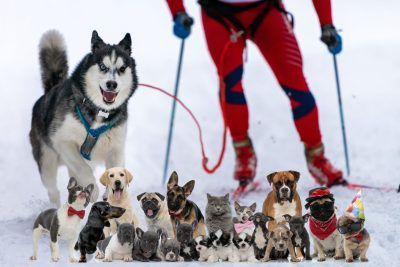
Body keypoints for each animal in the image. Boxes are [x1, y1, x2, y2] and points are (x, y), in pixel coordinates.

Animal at [29, 29, 138, 206]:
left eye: (122, 68)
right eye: (102, 66)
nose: (111, 84)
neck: (100, 111)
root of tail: (49, 92)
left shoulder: (116, 149)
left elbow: (115, 170)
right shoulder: (62, 141)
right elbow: (83, 168)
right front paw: (93, 190)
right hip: (47, 163)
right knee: (53, 190)